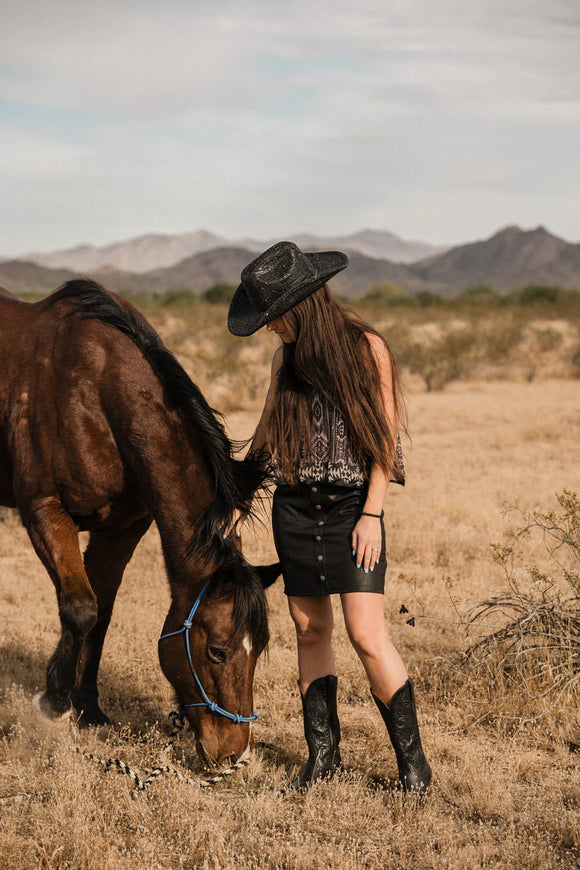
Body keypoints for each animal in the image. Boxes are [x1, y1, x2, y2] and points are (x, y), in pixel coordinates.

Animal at [0, 282, 280, 768]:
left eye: (259, 648)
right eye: (218, 650)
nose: (235, 754)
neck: (92, 394)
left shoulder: (122, 528)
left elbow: (103, 613)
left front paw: (89, 708)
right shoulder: (44, 511)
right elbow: (81, 609)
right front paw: (53, 703)